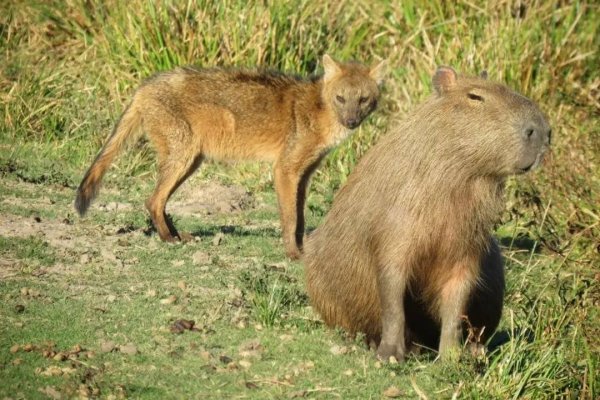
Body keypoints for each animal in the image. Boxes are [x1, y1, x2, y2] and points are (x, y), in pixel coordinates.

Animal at [75, 54, 384, 260]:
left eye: (363, 100)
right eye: (341, 99)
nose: (352, 122)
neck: (319, 110)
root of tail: (145, 85)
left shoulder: (304, 174)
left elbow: (300, 219)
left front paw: (302, 250)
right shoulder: (284, 170)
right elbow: (290, 218)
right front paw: (292, 254)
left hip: (190, 164)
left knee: (158, 202)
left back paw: (178, 235)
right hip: (182, 160)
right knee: (152, 201)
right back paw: (168, 239)